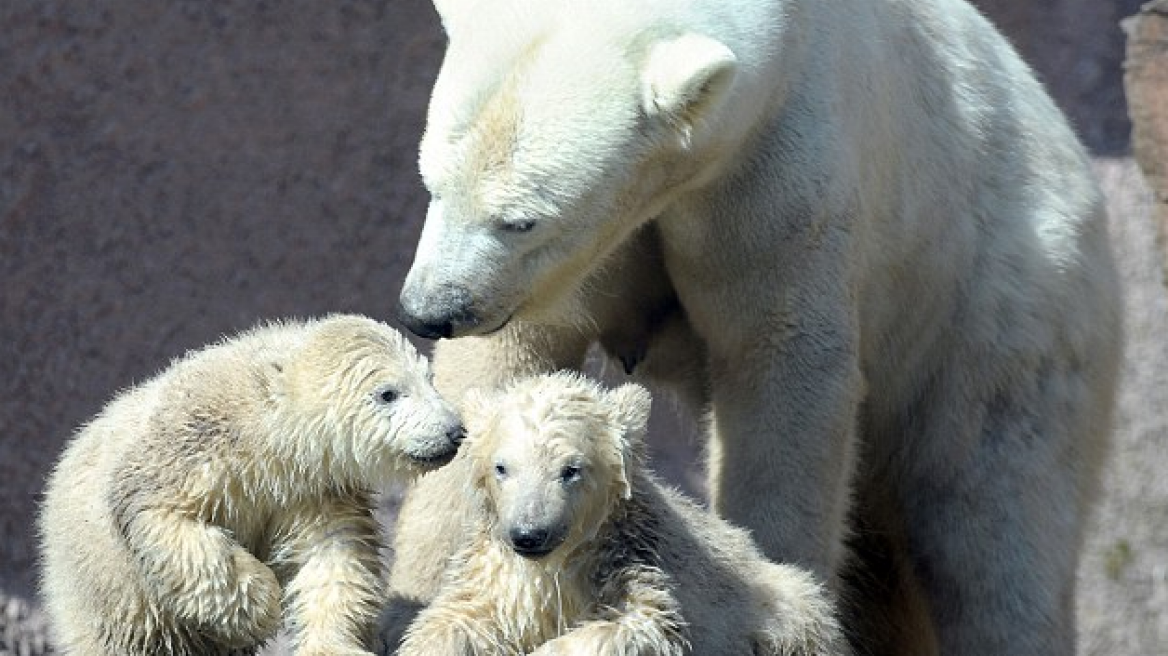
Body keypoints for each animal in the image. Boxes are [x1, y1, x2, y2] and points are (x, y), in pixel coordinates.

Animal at [40, 315, 469, 648]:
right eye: (388, 393)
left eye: (429, 378)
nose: (454, 431)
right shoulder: (193, 447)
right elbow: (164, 518)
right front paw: (263, 604)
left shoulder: (311, 488)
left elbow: (332, 557)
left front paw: (330, 644)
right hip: (105, 589)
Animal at [378, 373, 845, 653]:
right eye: (502, 467)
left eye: (571, 470)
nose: (528, 534)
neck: (556, 564)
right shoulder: (495, 574)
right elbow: (453, 619)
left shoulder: (632, 560)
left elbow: (639, 624)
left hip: (784, 609)